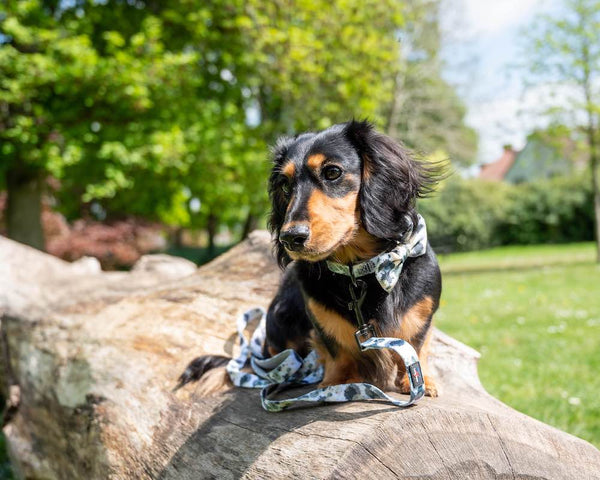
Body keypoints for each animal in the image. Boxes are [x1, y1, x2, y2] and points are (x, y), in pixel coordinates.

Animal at [178, 120, 440, 398]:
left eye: (332, 172)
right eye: (284, 184)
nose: (290, 238)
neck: (359, 271)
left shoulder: (422, 313)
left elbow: (417, 344)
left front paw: (420, 380)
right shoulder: (321, 321)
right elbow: (337, 351)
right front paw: (337, 382)